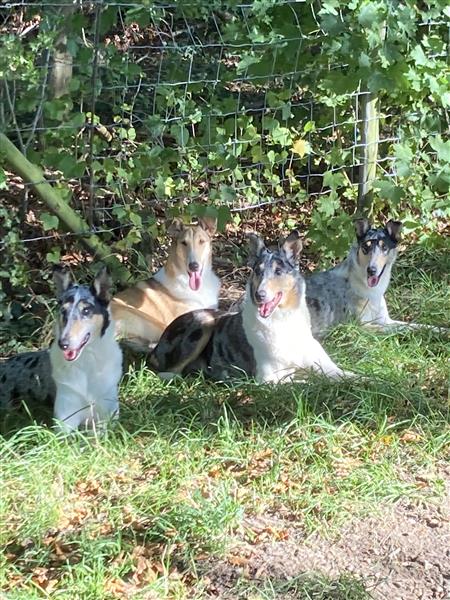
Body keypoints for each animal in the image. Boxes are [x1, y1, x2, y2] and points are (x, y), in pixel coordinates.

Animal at [0, 268, 123, 432]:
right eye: (63, 311)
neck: (87, 361)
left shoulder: (109, 418)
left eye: (86, 310)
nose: (63, 343)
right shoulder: (65, 421)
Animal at [149, 232, 354, 382]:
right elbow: (305, 382)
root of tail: (155, 346)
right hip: (203, 321)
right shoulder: (269, 378)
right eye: (257, 271)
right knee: (168, 373)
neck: (283, 321)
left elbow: (345, 375)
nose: (259, 295)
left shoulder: (323, 364)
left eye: (278, 271)